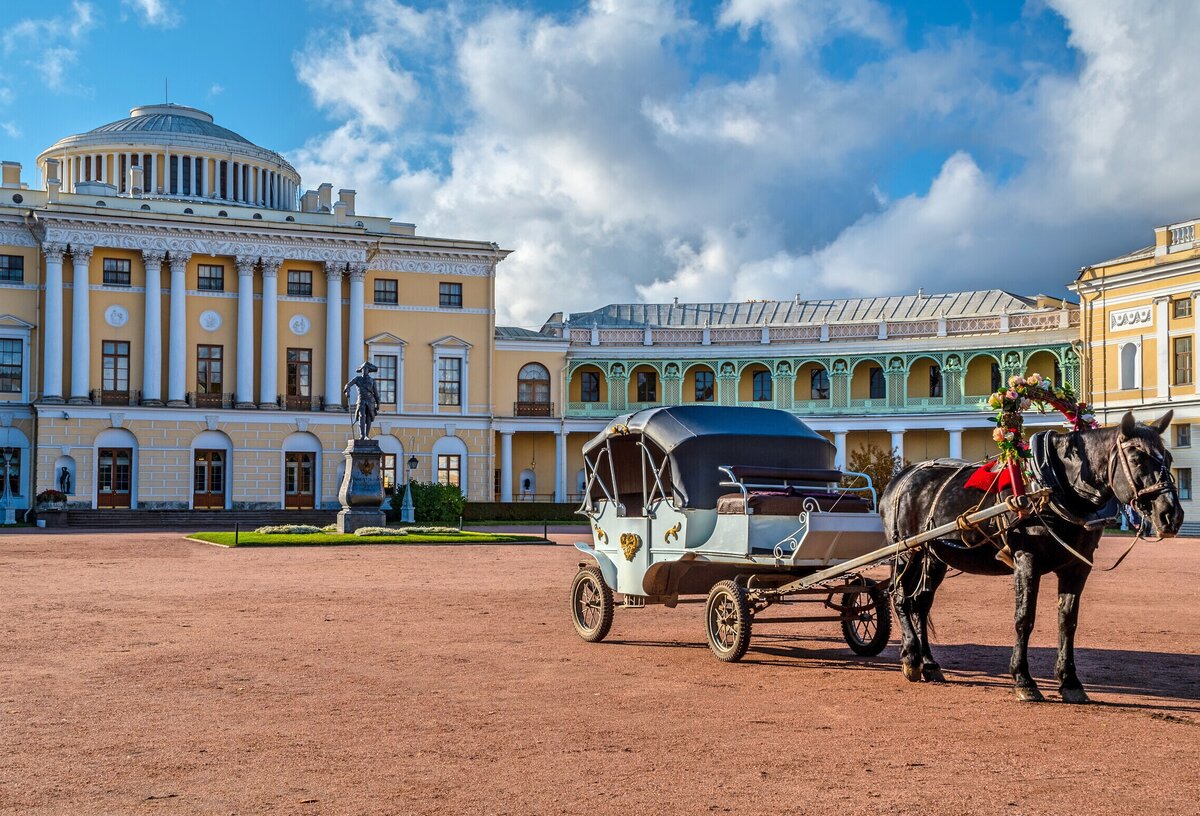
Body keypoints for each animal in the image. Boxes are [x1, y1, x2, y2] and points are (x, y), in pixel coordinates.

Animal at [878, 410, 1185, 705]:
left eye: (1168, 458)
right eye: (1136, 457)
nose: (1171, 515)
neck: (1053, 486)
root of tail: (902, 477)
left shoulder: (1077, 567)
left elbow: (1068, 622)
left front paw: (1070, 681)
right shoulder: (1027, 559)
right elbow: (1024, 618)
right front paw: (1023, 679)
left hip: (933, 557)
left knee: (920, 604)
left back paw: (929, 663)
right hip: (905, 553)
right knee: (900, 598)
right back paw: (911, 657)